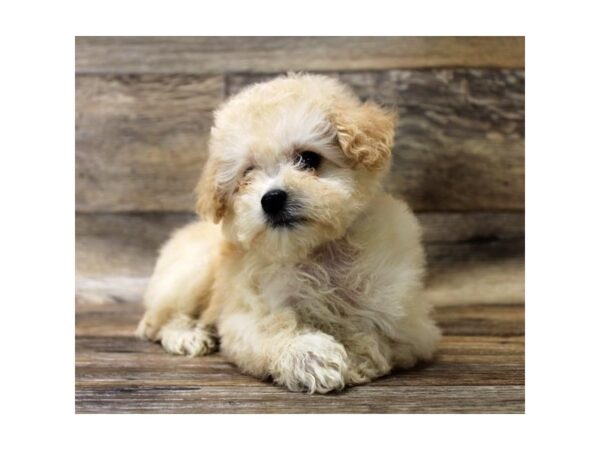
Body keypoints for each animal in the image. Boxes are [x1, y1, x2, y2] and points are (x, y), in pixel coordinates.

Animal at [138, 74, 442, 394]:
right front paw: (311, 356)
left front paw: (350, 354)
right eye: (247, 174)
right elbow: (270, 328)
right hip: (190, 272)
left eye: (308, 159)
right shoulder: (245, 313)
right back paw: (189, 335)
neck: (318, 251)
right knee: (157, 321)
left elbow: (373, 335)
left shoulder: (408, 325)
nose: (271, 199)